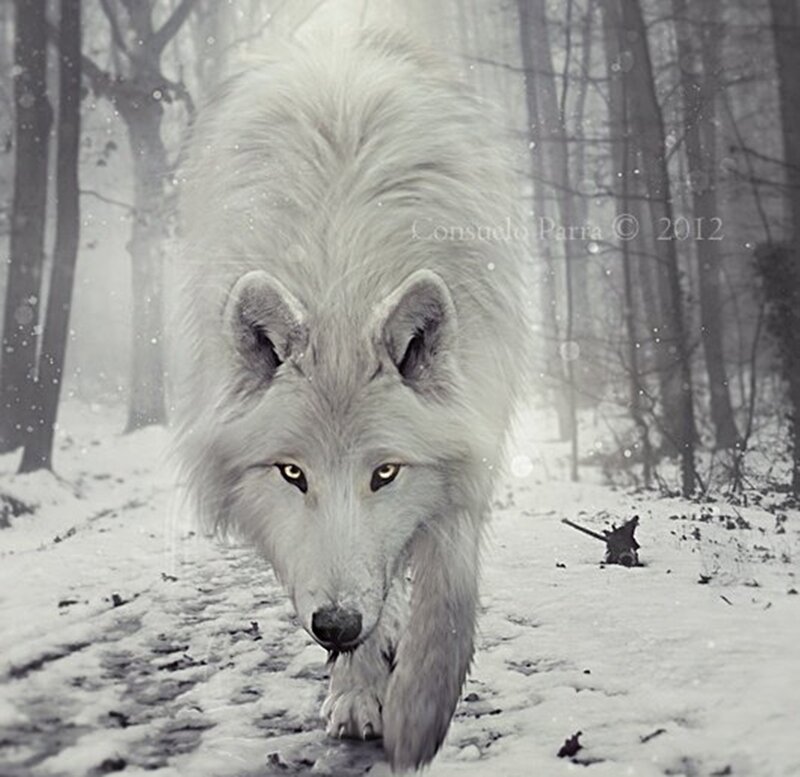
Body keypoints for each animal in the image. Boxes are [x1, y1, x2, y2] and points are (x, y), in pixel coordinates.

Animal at [176, 29, 530, 771]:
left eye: (385, 472)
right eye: (292, 472)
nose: (335, 625)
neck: (341, 273)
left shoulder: (472, 432)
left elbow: (448, 589)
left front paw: (419, 713)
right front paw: (359, 690)